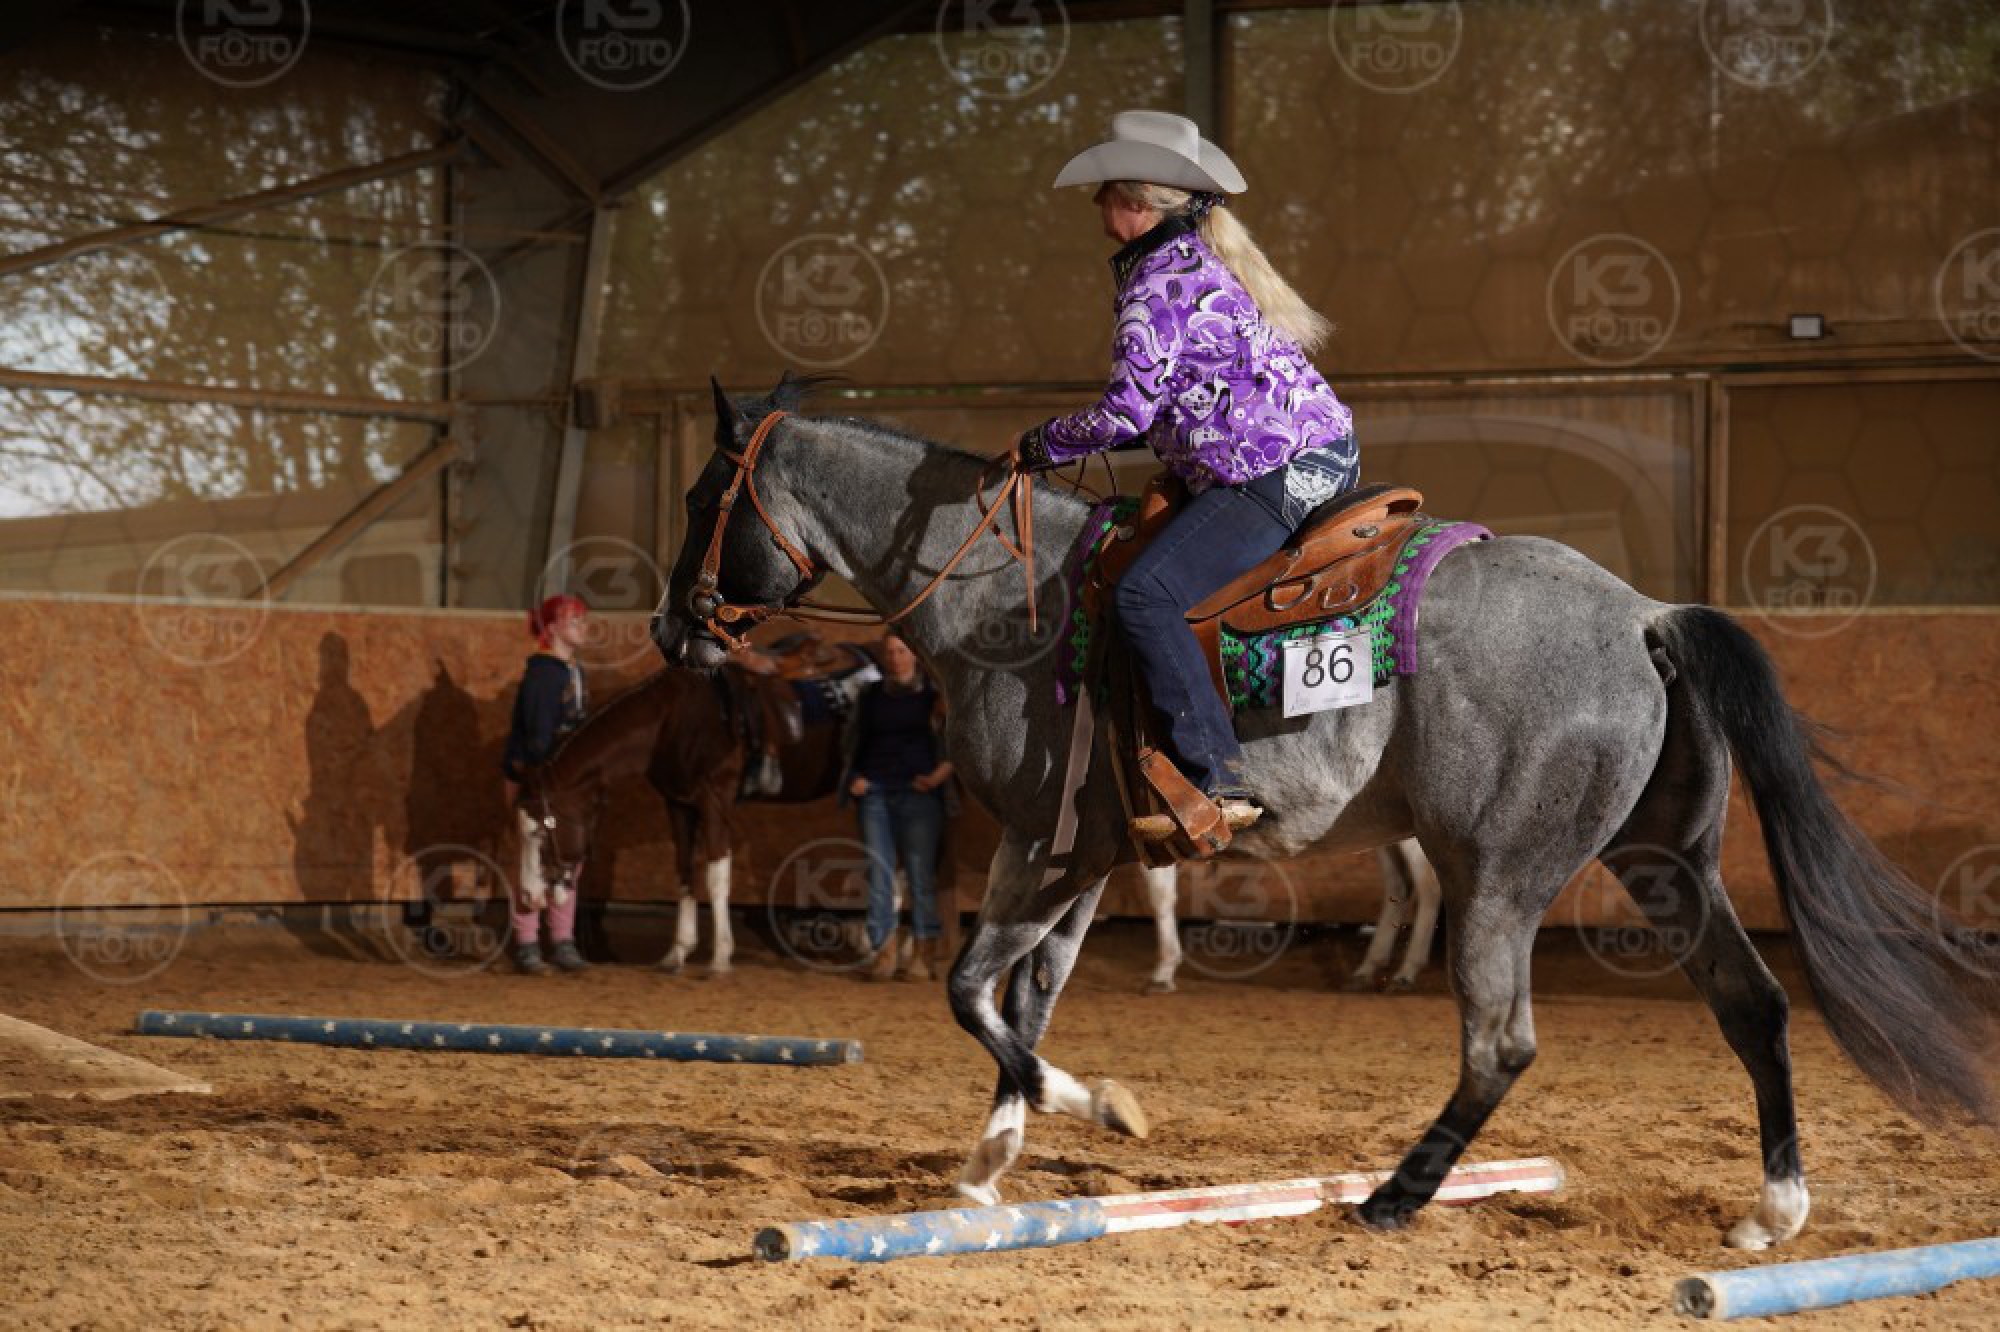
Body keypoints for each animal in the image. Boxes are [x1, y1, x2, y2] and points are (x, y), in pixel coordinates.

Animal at [514, 646, 872, 975]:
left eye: (541, 831)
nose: (528, 897)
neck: (673, 721)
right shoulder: (679, 804)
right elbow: (684, 871)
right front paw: (678, 952)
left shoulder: (714, 802)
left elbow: (715, 878)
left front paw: (720, 958)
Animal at [1140, 840, 1441, 994]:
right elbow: (1160, 893)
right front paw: (1164, 972)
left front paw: (1163, 973)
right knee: (1398, 886)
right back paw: (1367, 969)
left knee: (1428, 885)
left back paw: (1406, 972)